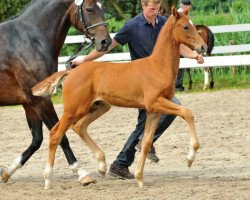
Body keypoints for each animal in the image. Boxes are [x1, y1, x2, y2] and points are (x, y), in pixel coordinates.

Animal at [0, 0, 111, 185]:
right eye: (89, 9)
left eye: (102, 7)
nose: (105, 42)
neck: (29, 39)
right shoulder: (41, 100)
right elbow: (60, 136)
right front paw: (82, 173)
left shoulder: (29, 102)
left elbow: (37, 140)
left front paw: (7, 172)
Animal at [32, 6, 206, 189]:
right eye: (185, 26)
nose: (203, 47)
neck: (157, 66)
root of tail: (71, 72)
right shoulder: (155, 102)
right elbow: (187, 113)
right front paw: (190, 158)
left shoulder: (153, 110)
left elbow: (146, 143)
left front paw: (139, 178)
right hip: (74, 109)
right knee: (55, 134)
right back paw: (48, 180)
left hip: (99, 106)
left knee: (79, 127)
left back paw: (101, 165)